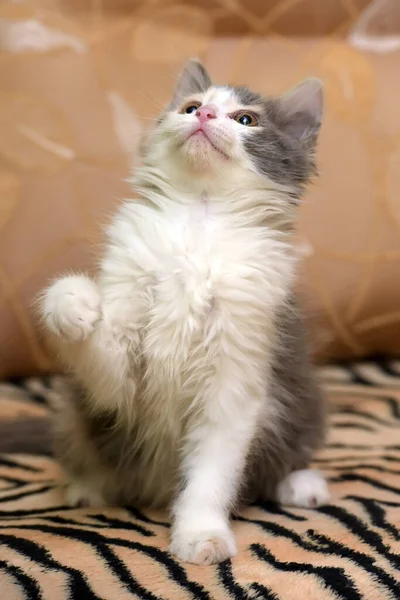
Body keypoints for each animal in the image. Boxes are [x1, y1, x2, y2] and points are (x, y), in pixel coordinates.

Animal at [39, 61, 330, 568]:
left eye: (246, 119)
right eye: (191, 107)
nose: (206, 114)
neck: (200, 217)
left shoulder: (237, 373)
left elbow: (212, 473)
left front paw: (201, 534)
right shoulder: (125, 374)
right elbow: (105, 362)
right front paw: (71, 302)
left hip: (303, 402)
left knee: (283, 458)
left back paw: (300, 483)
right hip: (74, 415)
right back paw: (87, 486)